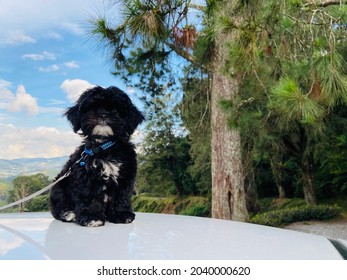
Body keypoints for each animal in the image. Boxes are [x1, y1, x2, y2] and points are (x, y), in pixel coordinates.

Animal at [49, 86, 144, 226]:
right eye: (93, 108)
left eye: (115, 110)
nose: (103, 115)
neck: (105, 147)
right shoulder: (86, 175)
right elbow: (90, 195)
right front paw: (92, 217)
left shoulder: (125, 175)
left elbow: (122, 195)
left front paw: (121, 214)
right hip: (59, 186)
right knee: (58, 207)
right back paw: (68, 213)